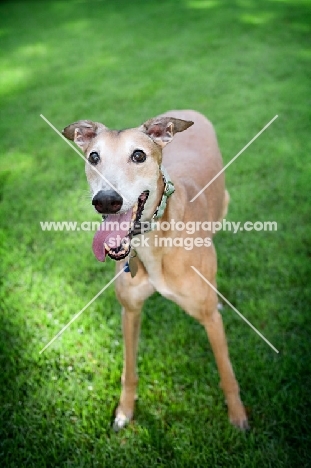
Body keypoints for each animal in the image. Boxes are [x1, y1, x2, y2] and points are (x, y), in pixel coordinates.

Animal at [62, 109, 249, 432]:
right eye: (94, 157)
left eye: (138, 155)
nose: (107, 200)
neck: (153, 243)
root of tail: (187, 110)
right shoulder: (130, 311)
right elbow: (129, 371)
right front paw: (124, 411)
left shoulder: (209, 320)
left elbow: (226, 372)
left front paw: (238, 416)